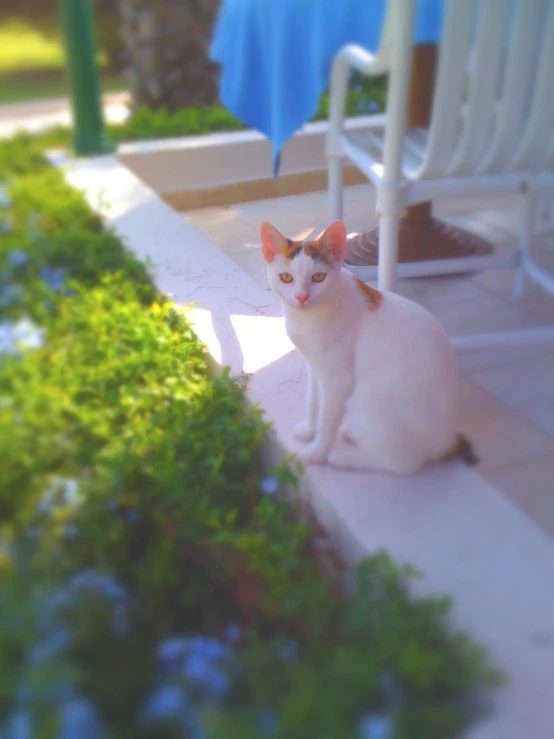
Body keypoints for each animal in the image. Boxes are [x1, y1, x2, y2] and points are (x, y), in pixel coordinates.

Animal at [260, 220, 474, 474]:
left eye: (319, 277)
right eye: (285, 277)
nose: (302, 297)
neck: (307, 317)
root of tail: (446, 440)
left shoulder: (337, 379)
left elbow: (327, 419)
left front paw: (317, 451)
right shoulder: (315, 366)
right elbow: (313, 401)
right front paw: (309, 429)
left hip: (367, 401)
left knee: (404, 463)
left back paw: (344, 457)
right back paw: (352, 434)